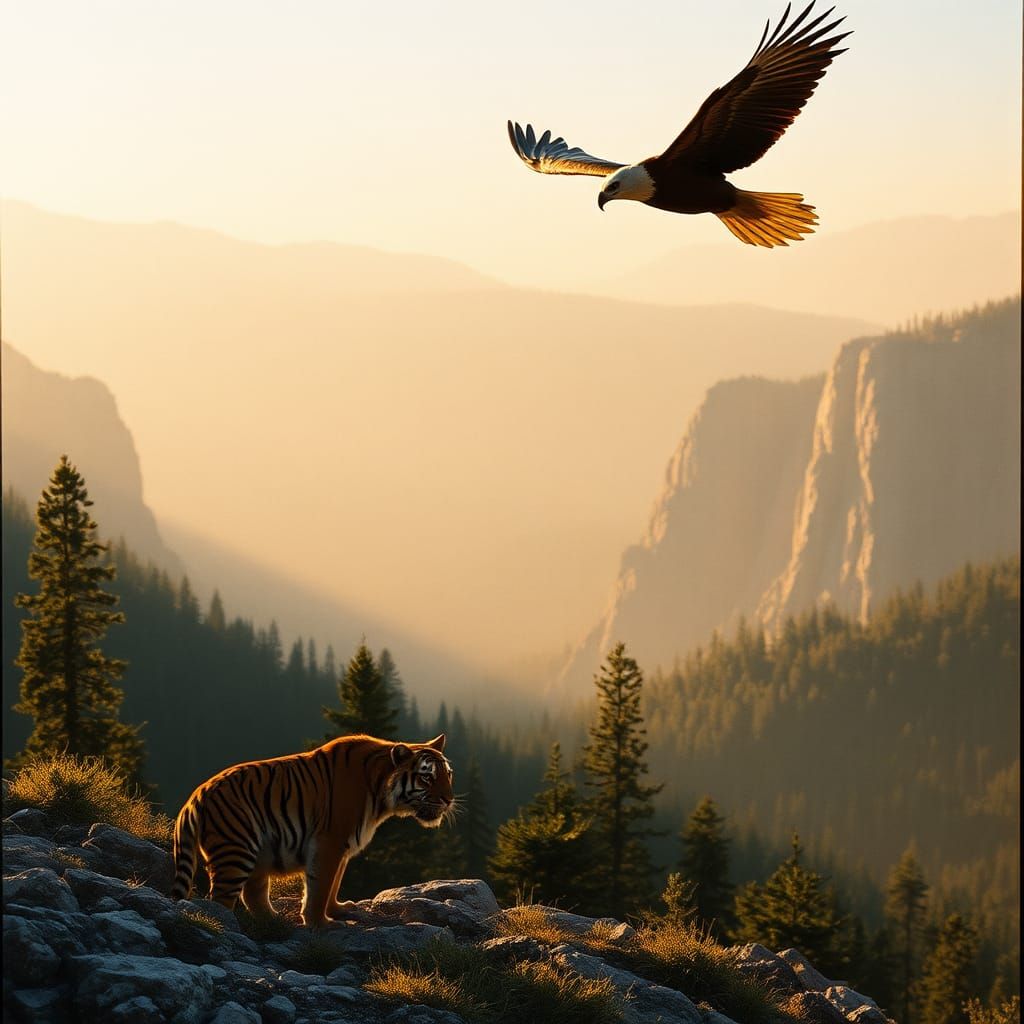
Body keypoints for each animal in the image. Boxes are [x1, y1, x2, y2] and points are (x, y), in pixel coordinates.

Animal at [171, 733, 454, 928]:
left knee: (253, 894)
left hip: (257, 853)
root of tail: (194, 797)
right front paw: (321, 923)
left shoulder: (344, 848)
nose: (449, 800)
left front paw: (338, 909)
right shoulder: (330, 842)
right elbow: (320, 885)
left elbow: (334, 884)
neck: (380, 794)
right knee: (219, 901)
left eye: (448, 775)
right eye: (427, 777)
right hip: (235, 852)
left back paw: (275, 921)